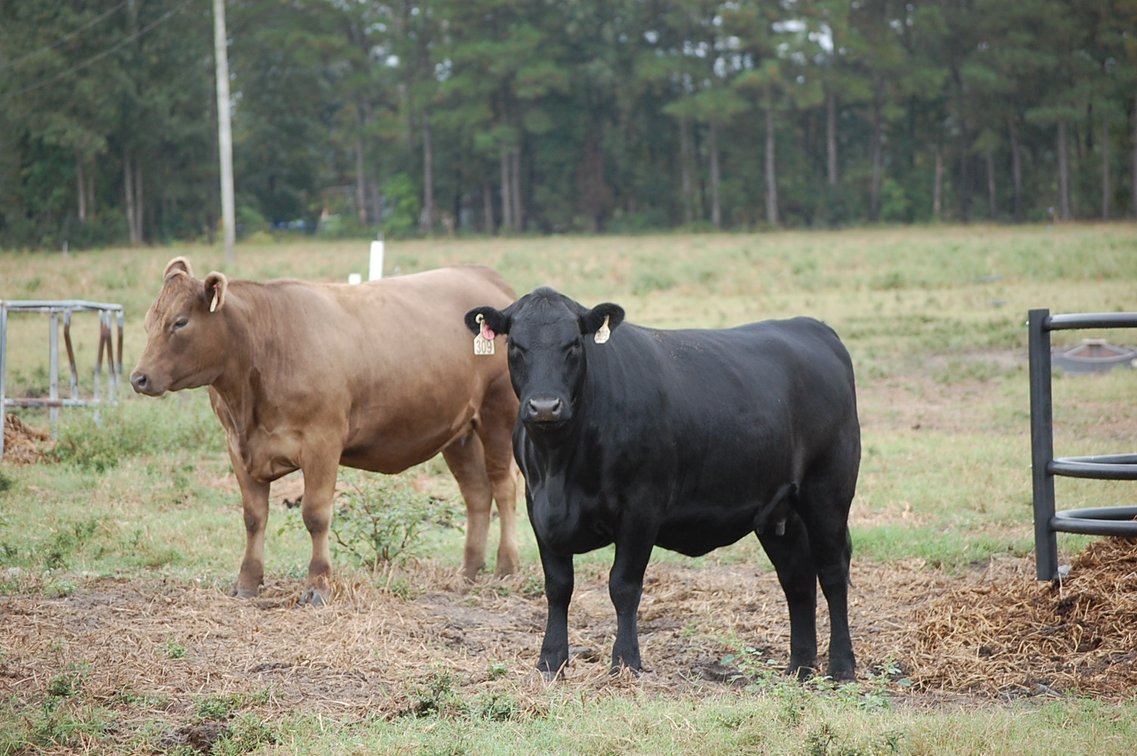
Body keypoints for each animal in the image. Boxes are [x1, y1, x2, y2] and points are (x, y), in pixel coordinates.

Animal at [131, 258, 521, 605]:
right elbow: (254, 517)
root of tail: (485, 276)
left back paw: (506, 567)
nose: (139, 378)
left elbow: (315, 515)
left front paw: (318, 585)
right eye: (149, 321)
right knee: (477, 493)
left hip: (498, 412)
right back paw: (468, 572)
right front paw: (247, 582)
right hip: (460, 432)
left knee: (504, 488)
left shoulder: (322, 443)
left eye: (180, 322)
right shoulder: (237, 448)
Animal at [465, 288, 861, 681]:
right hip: (781, 511)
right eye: (516, 345)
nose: (545, 406)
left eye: (574, 344)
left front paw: (625, 661)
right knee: (797, 578)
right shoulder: (539, 508)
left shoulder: (641, 506)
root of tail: (811, 327)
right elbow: (558, 586)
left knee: (832, 573)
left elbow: (623, 585)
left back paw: (841, 666)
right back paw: (800, 666)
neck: (559, 465)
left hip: (828, 492)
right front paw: (550, 661)